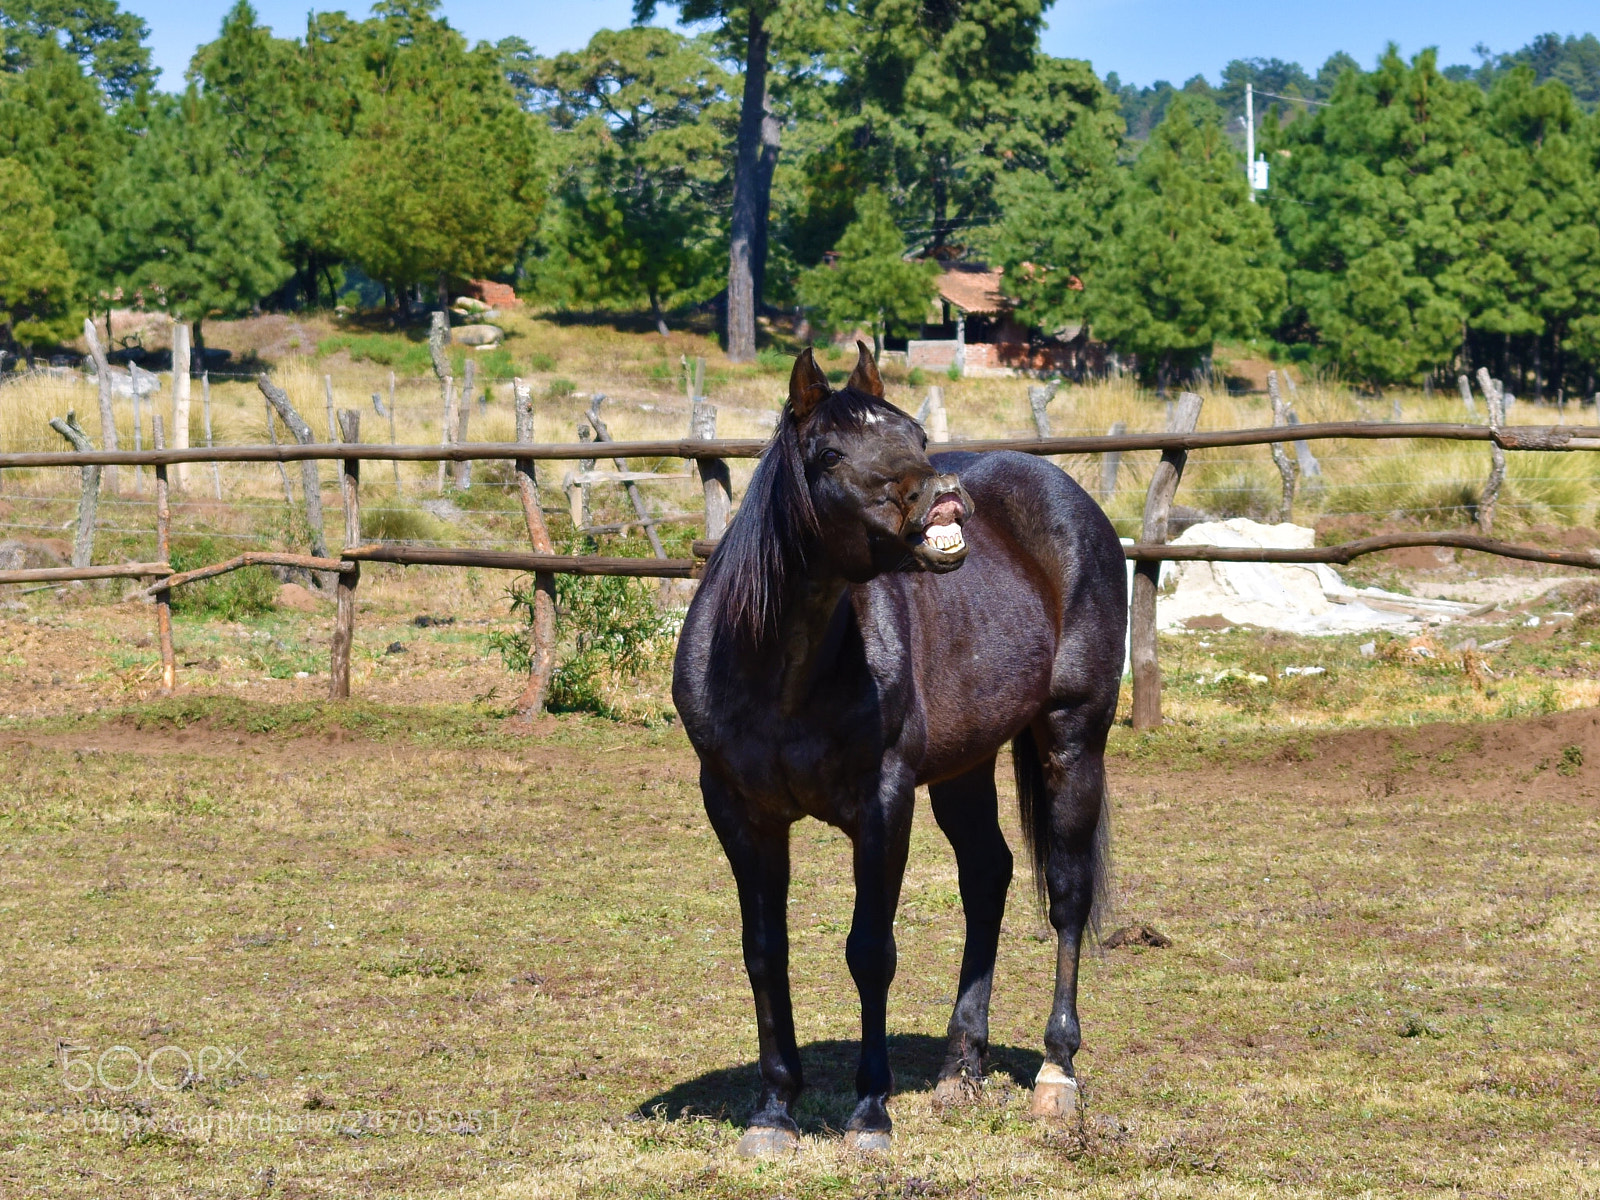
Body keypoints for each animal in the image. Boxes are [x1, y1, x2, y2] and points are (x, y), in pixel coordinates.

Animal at [672, 344, 1127, 1154]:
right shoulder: (738, 810)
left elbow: (870, 952)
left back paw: (1056, 1075)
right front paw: (773, 1112)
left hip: (1073, 739)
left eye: (915, 435)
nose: (942, 501)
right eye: (829, 452)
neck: (783, 671)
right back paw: (961, 1069)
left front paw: (869, 1113)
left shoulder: (882, 805)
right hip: (965, 766)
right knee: (988, 878)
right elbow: (765, 950)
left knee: (1067, 896)